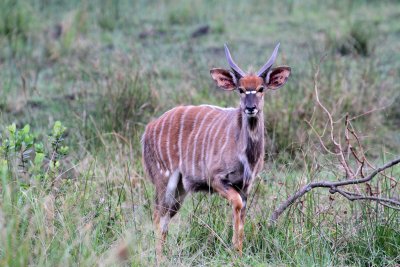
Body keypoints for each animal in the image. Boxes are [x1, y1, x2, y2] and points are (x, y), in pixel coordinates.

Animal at [141, 43, 290, 258]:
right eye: (241, 90)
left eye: (261, 88)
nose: (250, 108)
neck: (245, 155)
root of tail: (148, 129)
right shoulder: (216, 179)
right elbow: (236, 204)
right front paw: (235, 251)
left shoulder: (245, 186)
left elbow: (242, 214)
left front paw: (239, 253)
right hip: (164, 179)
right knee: (157, 213)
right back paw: (159, 257)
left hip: (180, 189)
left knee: (166, 216)